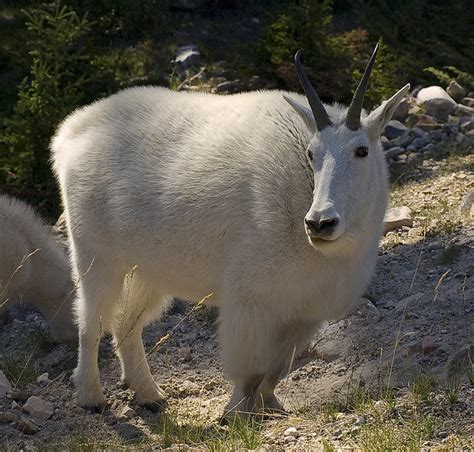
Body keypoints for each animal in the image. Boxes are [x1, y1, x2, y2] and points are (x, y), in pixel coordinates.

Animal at [51, 46, 408, 416]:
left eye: (362, 150)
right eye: (312, 153)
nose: (320, 223)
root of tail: (69, 133)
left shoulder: (304, 311)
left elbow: (276, 368)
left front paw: (270, 405)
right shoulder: (249, 297)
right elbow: (249, 369)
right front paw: (236, 412)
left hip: (147, 269)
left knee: (126, 324)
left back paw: (149, 393)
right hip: (95, 254)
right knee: (91, 323)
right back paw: (91, 396)